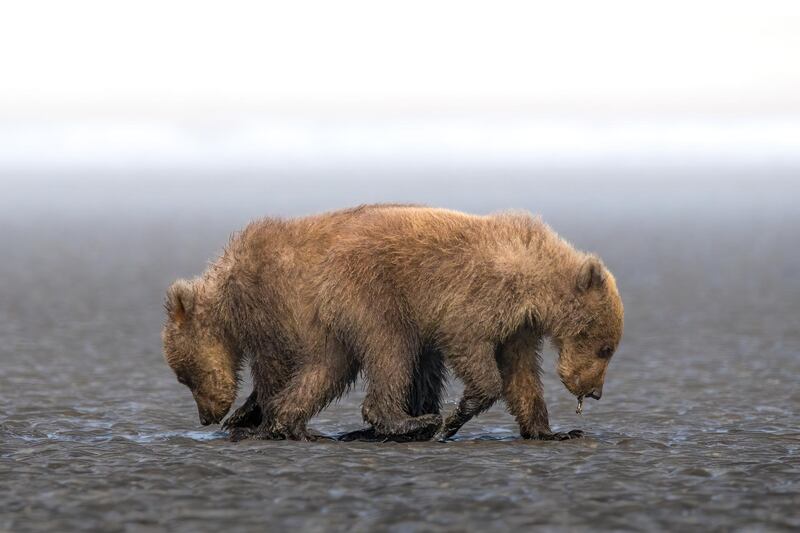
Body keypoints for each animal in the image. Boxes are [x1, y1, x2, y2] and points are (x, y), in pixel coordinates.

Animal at [162, 204, 624, 440]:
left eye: (609, 349)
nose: (595, 391)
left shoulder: (518, 326)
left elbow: (522, 376)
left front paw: (551, 431)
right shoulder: (479, 296)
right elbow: (470, 347)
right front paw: (454, 417)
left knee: (337, 365)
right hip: (373, 297)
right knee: (390, 352)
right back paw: (410, 421)